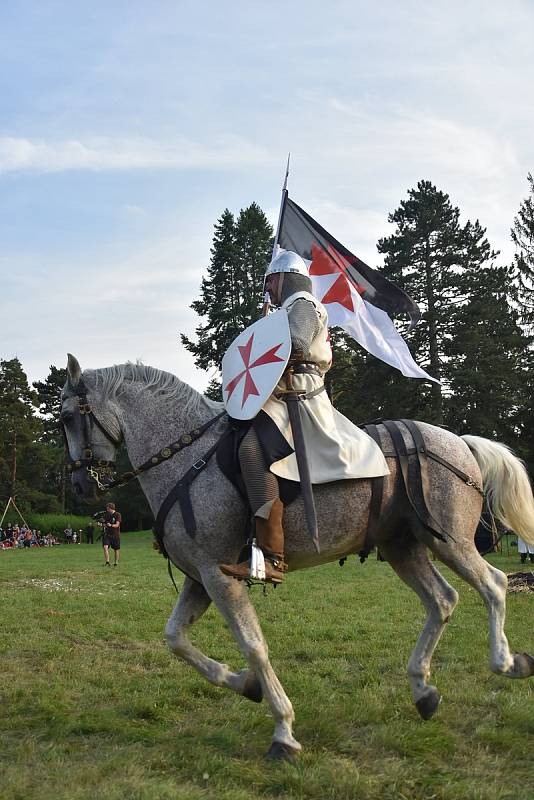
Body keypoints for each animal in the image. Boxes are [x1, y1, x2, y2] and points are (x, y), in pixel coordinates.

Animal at [60, 354, 534, 756]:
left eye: (66, 417)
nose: (80, 485)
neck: (187, 458)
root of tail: (459, 442)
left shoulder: (219, 576)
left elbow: (254, 645)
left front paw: (284, 730)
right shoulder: (200, 577)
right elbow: (176, 638)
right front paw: (244, 684)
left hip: (451, 541)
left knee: (493, 584)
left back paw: (507, 662)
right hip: (404, 547)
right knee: (442, 600)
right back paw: (423, 690)